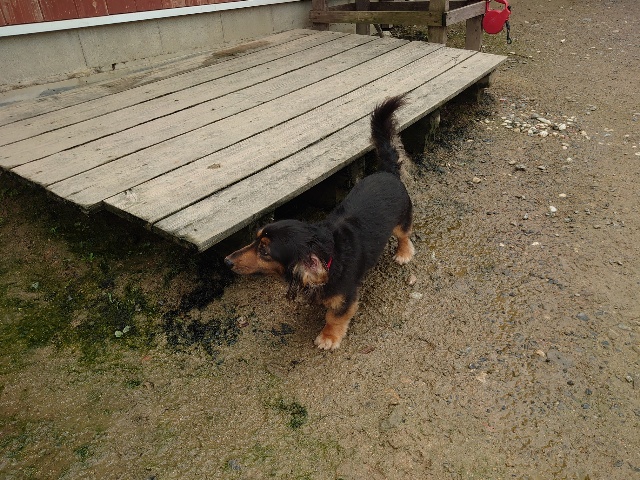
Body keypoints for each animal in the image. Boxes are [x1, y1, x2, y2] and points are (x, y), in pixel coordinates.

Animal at [224, 95, 414, 350]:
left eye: (264, 251)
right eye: (255, 240)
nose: (226, 261)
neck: (328, 252)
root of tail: (387, 172)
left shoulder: (346, 297)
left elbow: (334, 317)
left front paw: (328, 338)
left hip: (402, 220)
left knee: (404, 235)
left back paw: (403, 253)